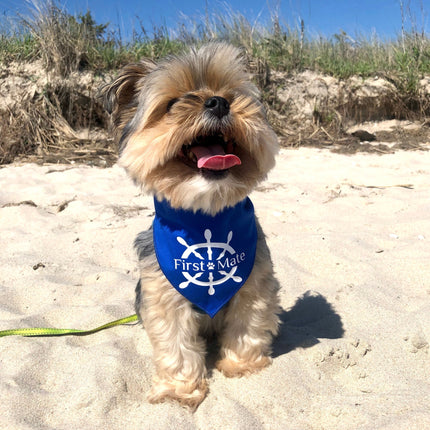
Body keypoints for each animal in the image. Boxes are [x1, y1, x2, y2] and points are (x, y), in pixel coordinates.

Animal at [102, 43, 280, 410]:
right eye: (172, 104)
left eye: (231, 95)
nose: (218, 102)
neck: (205, 214)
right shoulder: (163, 293)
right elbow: (175, 344)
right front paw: (179, 389)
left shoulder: (254, 283)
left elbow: (248, 324)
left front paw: (241, 365)